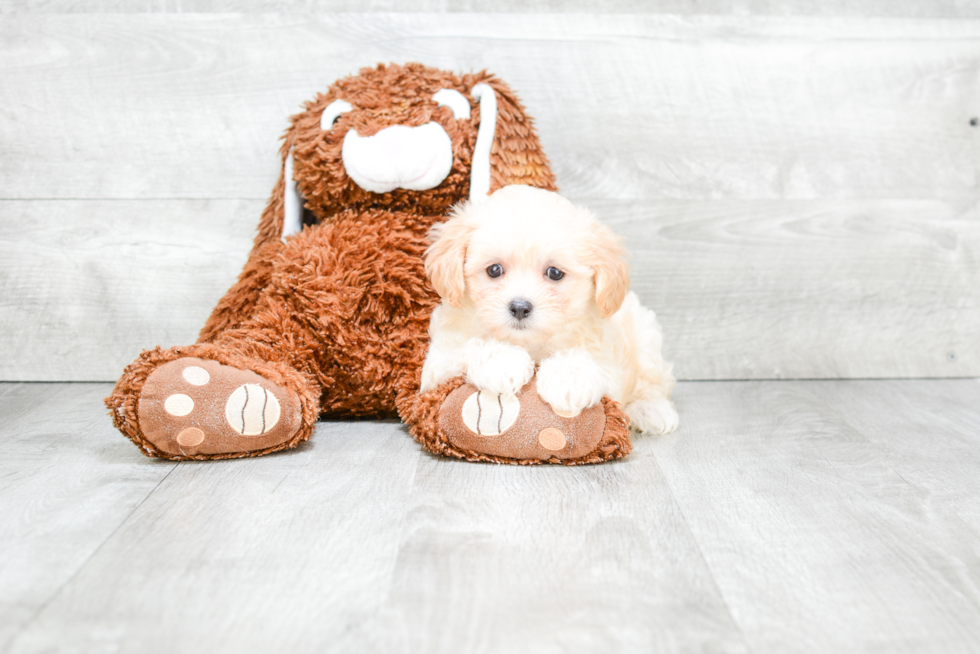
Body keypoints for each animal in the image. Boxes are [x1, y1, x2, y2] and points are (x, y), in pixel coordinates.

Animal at [418, 186, 676, 436]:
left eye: (555, 273)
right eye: (494, 269)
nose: (520, 307)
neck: (531, 343)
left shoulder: (611, 371)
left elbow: (588, 362)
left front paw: (568, 377)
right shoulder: (435, 367)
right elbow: (466, 348)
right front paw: (503, 361)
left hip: (645, 335)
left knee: (653, 381)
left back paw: (651, 409)